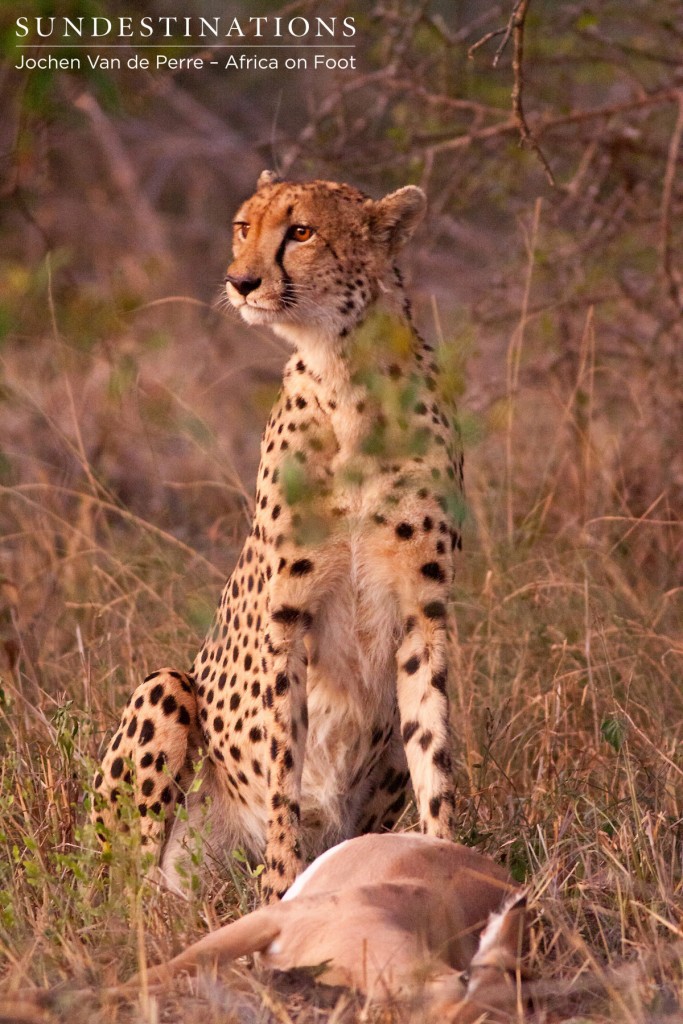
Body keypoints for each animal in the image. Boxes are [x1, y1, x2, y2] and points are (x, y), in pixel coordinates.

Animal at [94, 172, 464, 901]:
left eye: (301, 231)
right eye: (243, 227)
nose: (239, 281)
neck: (349, 381)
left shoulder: (423, 615)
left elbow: (433, 760)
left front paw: (447, 865)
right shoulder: (287, 618)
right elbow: (282, 773)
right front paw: (282, 889)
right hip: (165, 692)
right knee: (125, 888)